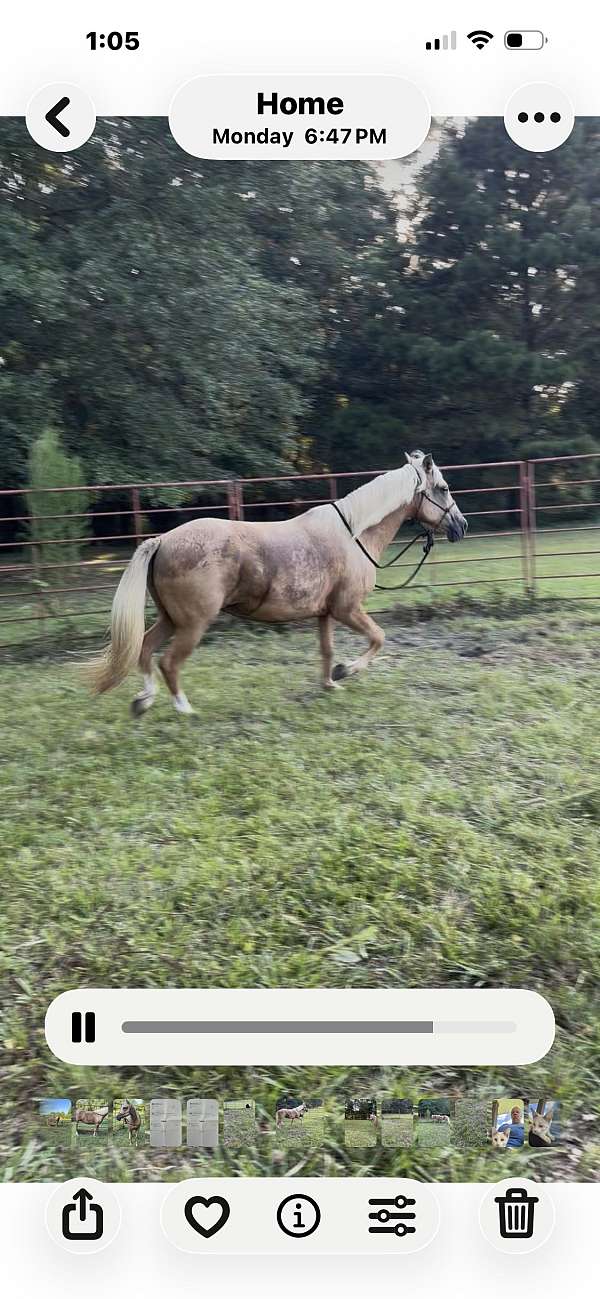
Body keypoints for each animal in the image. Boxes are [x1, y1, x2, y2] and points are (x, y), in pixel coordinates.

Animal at [87, 451, 467, 715]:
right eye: (444, 488)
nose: (461, 526)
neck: (353, 535)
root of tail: (163, 540)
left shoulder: (326, 613)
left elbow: (327, 650)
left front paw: (330, 684)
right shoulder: (348, 609)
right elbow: (378, 638)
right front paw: (345, 671)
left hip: (171, 618)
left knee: (145, 649)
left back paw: (143, 701)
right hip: (193, 623)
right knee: (168, 662)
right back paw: (184, 709)